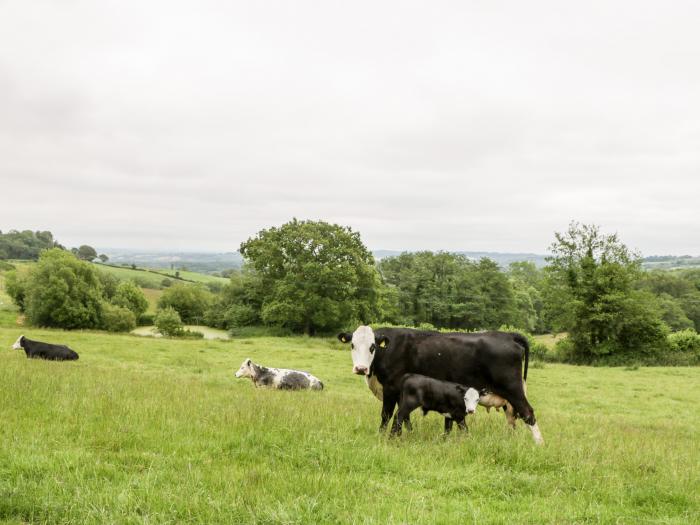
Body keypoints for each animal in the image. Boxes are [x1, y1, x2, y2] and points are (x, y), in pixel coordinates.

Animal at [336, 326, 544, 444]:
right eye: (353, 345)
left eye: (372, 347)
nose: (361, 368)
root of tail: (508, 335)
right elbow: (404, 416)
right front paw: (409, 435)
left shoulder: (391, 389)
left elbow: (386, 415)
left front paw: (381, 437)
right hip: (509, 398)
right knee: (512, 419)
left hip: (514, 390)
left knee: (528, 414)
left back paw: (539, 445)